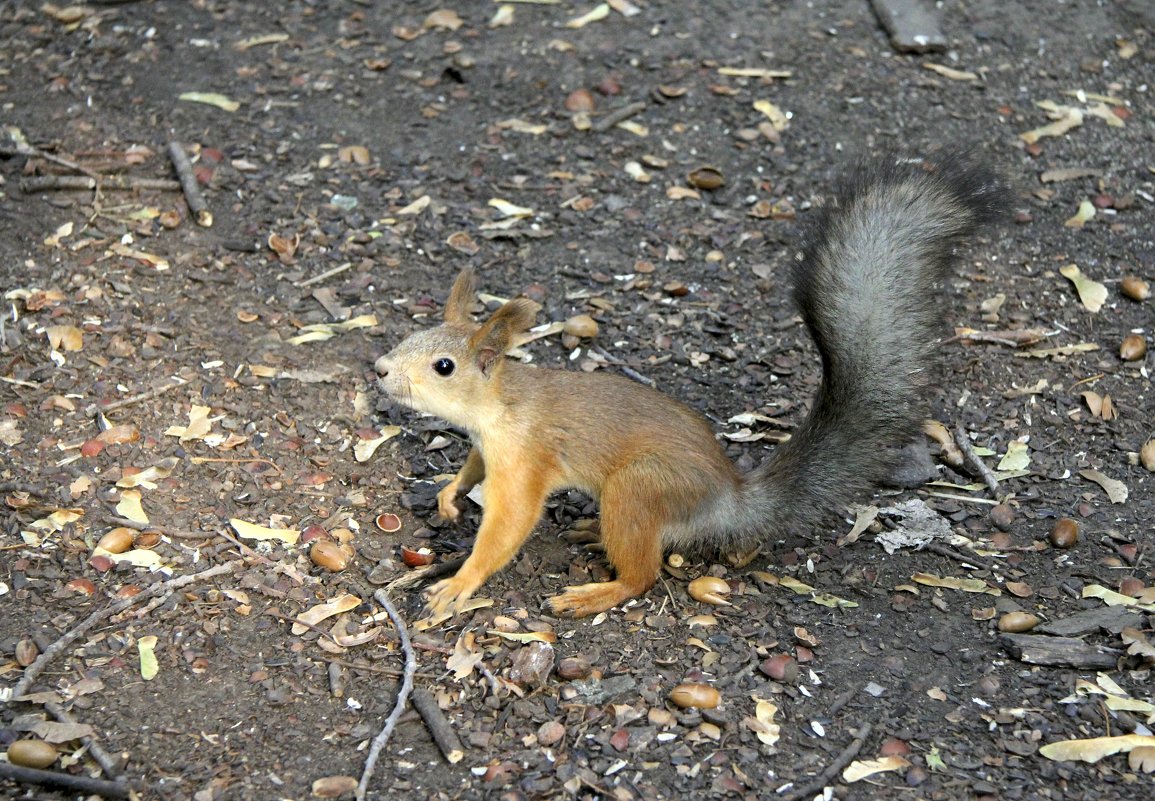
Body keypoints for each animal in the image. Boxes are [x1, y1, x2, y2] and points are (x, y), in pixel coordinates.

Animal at [374, 155, 1007, 623]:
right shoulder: (487, 447)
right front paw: (450, 495)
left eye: (444, 366)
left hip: (640, 486)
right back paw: (591, 532)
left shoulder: (526, 458)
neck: (501, 407)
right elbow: (471, 469)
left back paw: (598, 591)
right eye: (410, 335)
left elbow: (508, 525)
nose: (379, 369)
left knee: (643, 575)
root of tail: (728, 500)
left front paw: (462, 580)